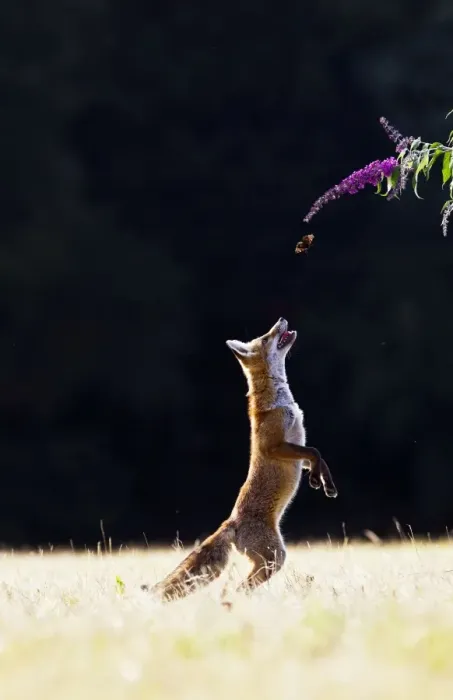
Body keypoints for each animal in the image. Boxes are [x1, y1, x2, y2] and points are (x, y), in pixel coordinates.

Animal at [141, 317, 337, 601]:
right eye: (266, 338)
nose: (281, 320)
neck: (280, 399)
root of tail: (231, 521)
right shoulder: (274, 446)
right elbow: (314, 451)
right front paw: (322, 482)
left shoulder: (296, 444)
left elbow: (316, 456)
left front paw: (320, 480)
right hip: (275, 557)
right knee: (241, 586)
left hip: (269, 558)